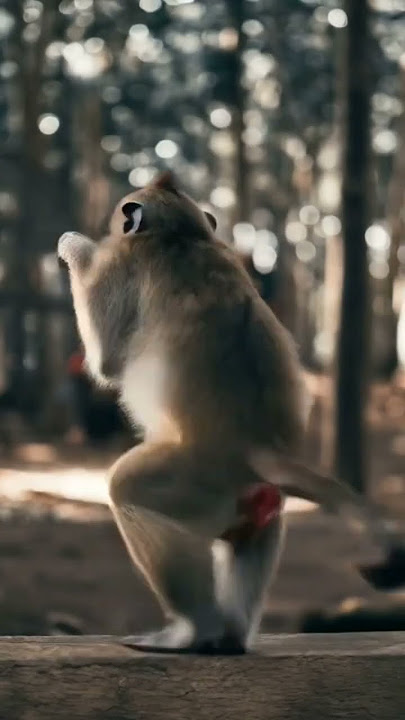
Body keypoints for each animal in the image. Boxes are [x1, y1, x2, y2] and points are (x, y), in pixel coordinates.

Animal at [58, 170, 391, 654]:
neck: (186, 235)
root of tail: (258, 449)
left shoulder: (126, 263)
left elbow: (107, 362)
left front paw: (77, 246)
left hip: (198, 479)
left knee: (128, 488)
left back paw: (194, 629)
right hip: (251, 494)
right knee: (256, 532)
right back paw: (230, 634)